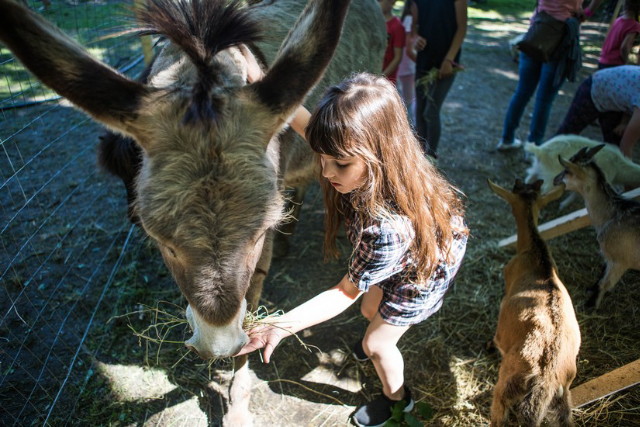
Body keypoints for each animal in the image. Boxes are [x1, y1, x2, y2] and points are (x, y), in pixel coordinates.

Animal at [552, 145, 640, 310]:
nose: (555, 180)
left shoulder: (620, 260)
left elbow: (604, 283)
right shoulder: (609, 256)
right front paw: (590, 291)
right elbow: (601, 274)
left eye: (567, 170)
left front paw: (590, 306)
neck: (612, 214)